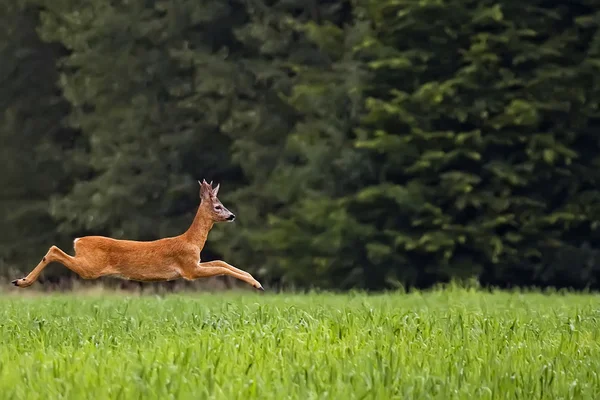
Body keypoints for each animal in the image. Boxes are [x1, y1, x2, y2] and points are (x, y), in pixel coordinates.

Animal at [11, 180, 264, 290]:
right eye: (218, 206)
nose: (232, 216)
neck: (191, 241)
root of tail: (79, 240)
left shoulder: (195, 263)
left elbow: (222, 262)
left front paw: (255, 281)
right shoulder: (189, 269)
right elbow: (222, 268)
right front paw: (256, 284)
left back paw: (21, 280)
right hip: (90, 267)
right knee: (55, 250)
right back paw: (22, 281)